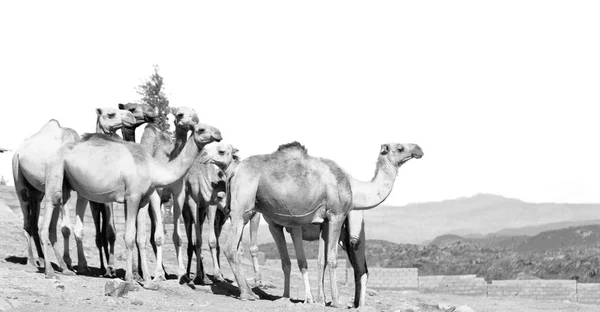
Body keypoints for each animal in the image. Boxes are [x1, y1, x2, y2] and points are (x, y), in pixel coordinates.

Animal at [12, 108, 136, 274]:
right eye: (111, 114)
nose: (131, 116)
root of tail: (19, 151)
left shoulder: (82, 193)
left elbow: (79, 229)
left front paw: (82, 265)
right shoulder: (66, 190)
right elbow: (65, 228)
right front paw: (71, 262)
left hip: (37, 191)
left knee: (35, 220)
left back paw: (44, 260)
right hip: (18, 177)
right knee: (26, 215)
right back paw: (32, 261)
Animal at [39, 122, 223, 288]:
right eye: (201, 129)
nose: (218, 133)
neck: (152, 167)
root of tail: (54, 155)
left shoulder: (143, 199)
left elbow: (140, 238)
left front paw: (148, 281)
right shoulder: (132, 197)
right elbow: (129, 237)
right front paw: (130, 279)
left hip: (66, 183)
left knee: (56, 213)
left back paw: (65, 269)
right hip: (56, 169)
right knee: (48, 212)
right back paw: (49, 271)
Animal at [221, 140, 422, 306]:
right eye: (400, 148)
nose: (419, 149)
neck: (353, 187)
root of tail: (234, 171)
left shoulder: (322, 222)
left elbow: (318, 260)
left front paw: (317, 299)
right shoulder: (336, 214)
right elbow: (331, 260)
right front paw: (336, 302)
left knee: (360, 268)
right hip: (242, 205)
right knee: (230, 247)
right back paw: (247, 294)